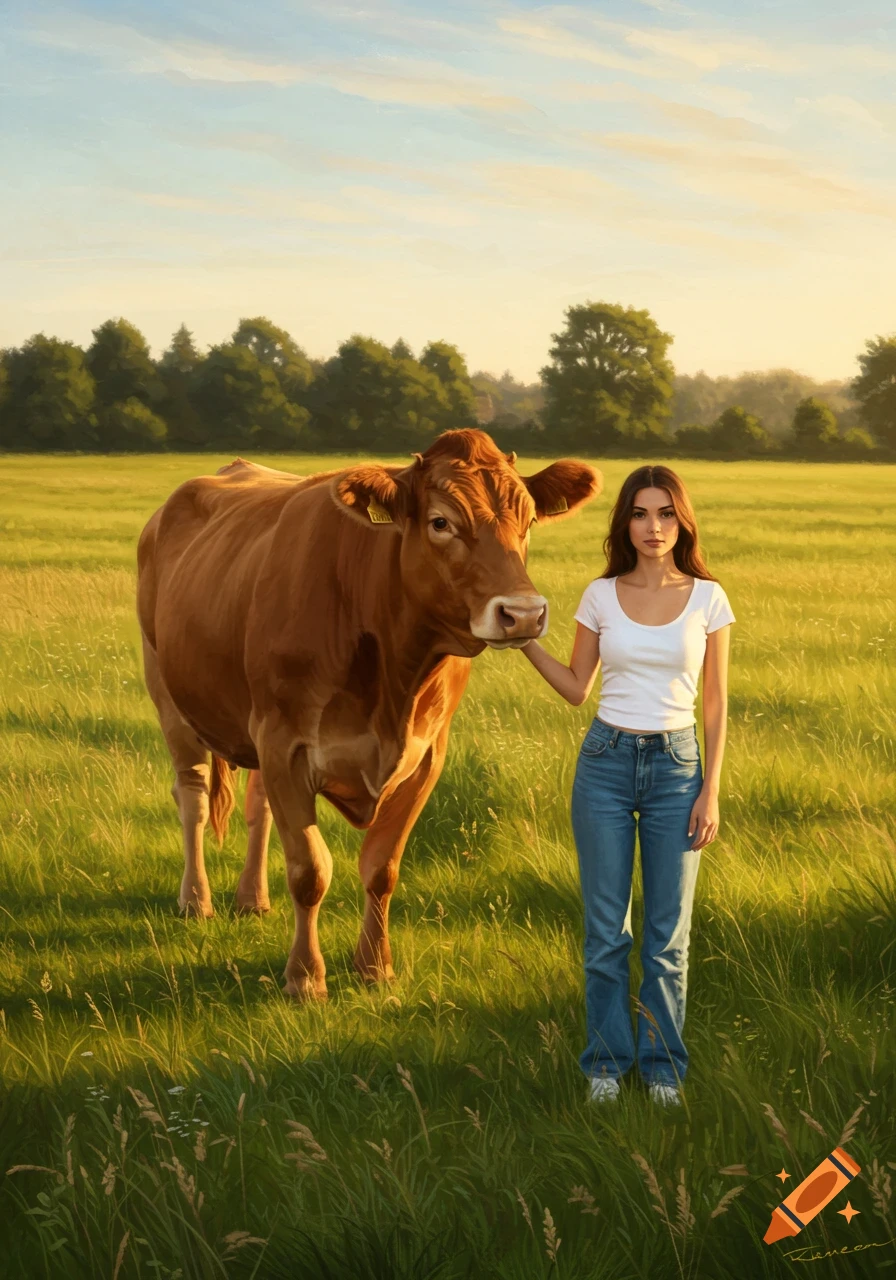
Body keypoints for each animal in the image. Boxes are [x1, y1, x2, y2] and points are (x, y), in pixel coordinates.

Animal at [137, 428, 601, 1001]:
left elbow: (381, 867)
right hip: (169, 695)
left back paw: (251, 899)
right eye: (440, 522)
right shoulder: (285, 744)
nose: (523, 614)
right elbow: (309, 869)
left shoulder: (426, 755)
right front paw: (305, 979)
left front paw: (375, 966)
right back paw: (196, 900)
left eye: (530, 520)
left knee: (257, 807)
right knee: (193, 798)